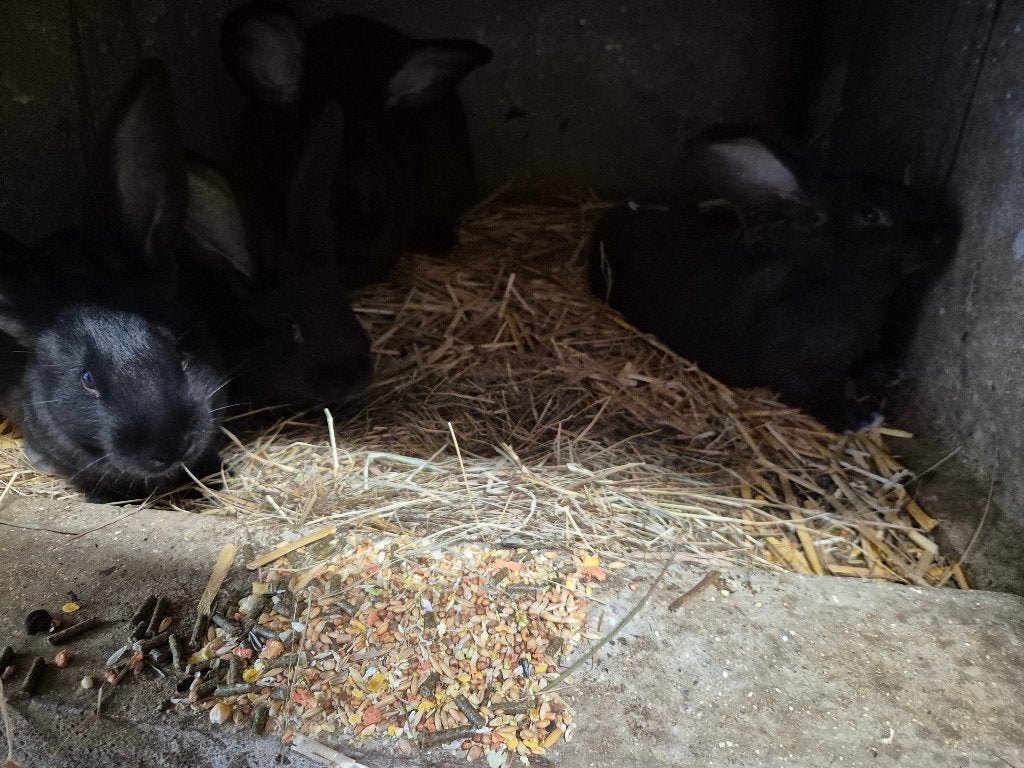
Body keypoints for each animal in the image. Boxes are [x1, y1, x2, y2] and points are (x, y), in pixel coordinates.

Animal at [588, 133, 956, 433]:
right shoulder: (799, 372)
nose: (939, 232)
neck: (828, 278)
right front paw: (859, 418)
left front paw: (888, 371)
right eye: (869, 215)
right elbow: (813, 395)